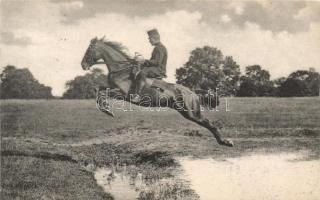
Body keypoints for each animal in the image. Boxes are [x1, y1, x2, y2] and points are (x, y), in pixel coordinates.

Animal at [81, 36, 234, 147]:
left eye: (89, 50)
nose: (83, 65)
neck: (121, 71)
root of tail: (192, 92)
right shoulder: (110, 87)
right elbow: (98, 90)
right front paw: (106, 108)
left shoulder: (122, 93)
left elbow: (102, 93)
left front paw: (107, 110)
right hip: (185, 111)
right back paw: (224, 142)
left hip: (191, 112)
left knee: (208, 123)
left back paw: (225, 142)